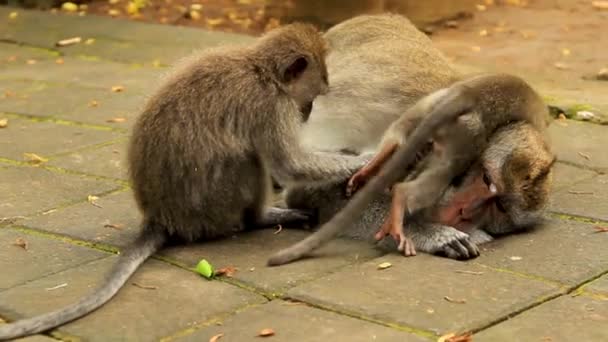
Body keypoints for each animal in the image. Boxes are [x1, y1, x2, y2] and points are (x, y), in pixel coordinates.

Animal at [0, 23, 366, 340]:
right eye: (313, 98)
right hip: (214, 205)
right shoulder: (270, 106)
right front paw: (363, 162)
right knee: (245, 158)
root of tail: (161, 218)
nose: (306, 113)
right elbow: (289, 163)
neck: (262, 70)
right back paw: (260, 218)